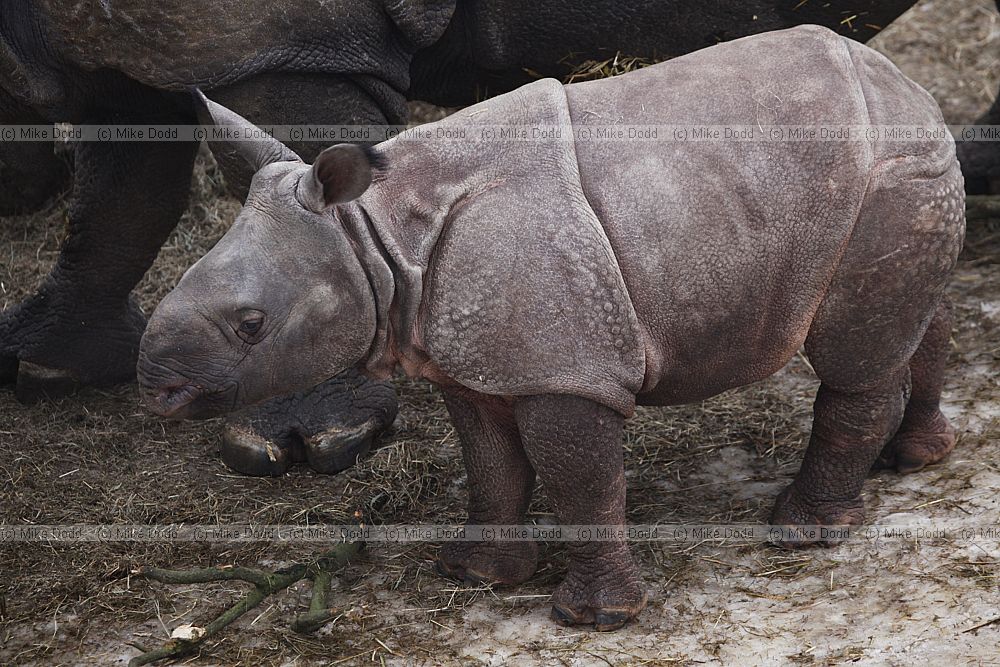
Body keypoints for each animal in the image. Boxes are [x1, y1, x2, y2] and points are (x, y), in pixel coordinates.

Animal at [136, 25, 965, 628]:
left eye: (251, 324)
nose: (157, 385)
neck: (375, 235)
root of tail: (910, 88)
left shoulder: (563, 369)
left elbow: (578, 477)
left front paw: (593, 617)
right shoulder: (473, 355)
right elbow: (492, 464)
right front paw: (473, 573)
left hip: (886, 172)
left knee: (854, 360)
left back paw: (801, 531)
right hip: (897, 169)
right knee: (919, 319)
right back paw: (914, 459)